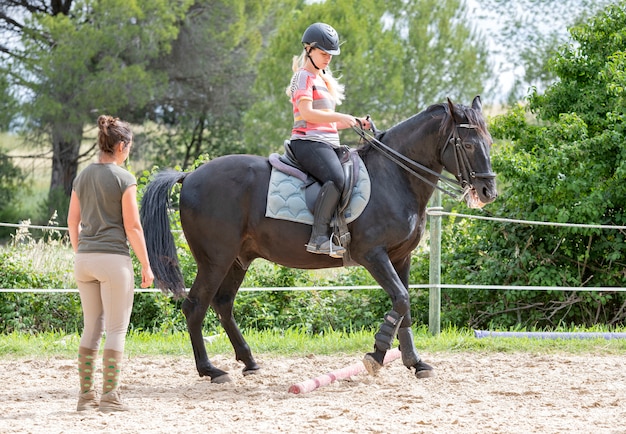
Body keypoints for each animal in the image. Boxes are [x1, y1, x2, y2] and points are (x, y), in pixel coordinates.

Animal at [139, 96, 494, 384]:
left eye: (488, 140)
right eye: (467, 144)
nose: (488, 191)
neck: (395, 177)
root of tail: (189, 175)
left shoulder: (400, 257)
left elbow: (403, 304)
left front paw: (415, 362)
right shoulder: (373, 255)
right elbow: (402, 299)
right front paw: (376, 355)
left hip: (237, 259)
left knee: (223, 304)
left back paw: (249, 362)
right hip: (215, 259)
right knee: (195, 306)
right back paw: (211, 370)